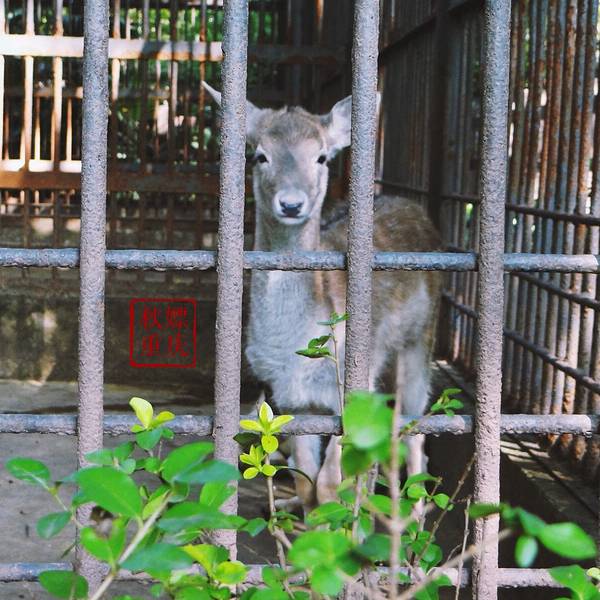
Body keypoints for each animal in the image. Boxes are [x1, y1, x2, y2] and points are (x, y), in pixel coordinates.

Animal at [203, 82, 442, 513]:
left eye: (321, 156)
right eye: (260, 155)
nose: (291, 203)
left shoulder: (352, 385)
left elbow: (333, 483)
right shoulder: (290, 397)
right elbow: (308, 485)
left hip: (422, 338)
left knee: (416, 421)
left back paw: (414, 514)